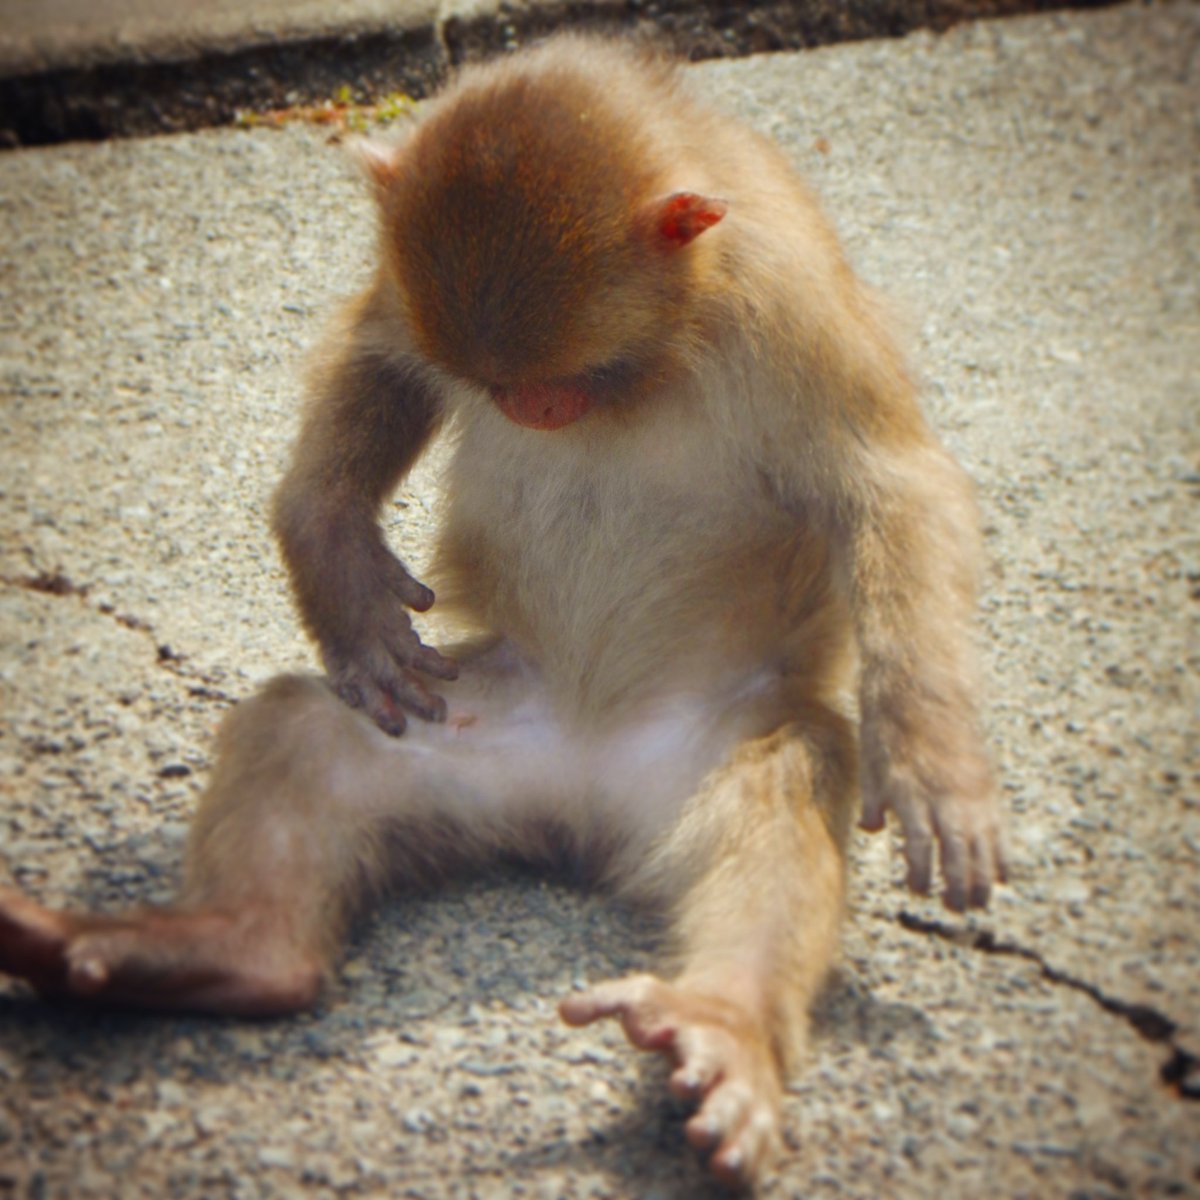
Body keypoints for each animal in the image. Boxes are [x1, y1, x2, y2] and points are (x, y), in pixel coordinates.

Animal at [0, 37, 1008, 1190]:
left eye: (578, 375)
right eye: (495, 385)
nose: (532, 409)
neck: (675, 333)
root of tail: (581, 806)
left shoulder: (786, 295)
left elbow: (893, 488)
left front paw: (932, 762)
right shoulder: (411, 285)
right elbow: (380, 355)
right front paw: (340, 567)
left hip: (704, 748)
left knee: (787, 773)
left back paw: (723, 1028)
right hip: (475, 736)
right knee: (304, 730)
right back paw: (232, 948)